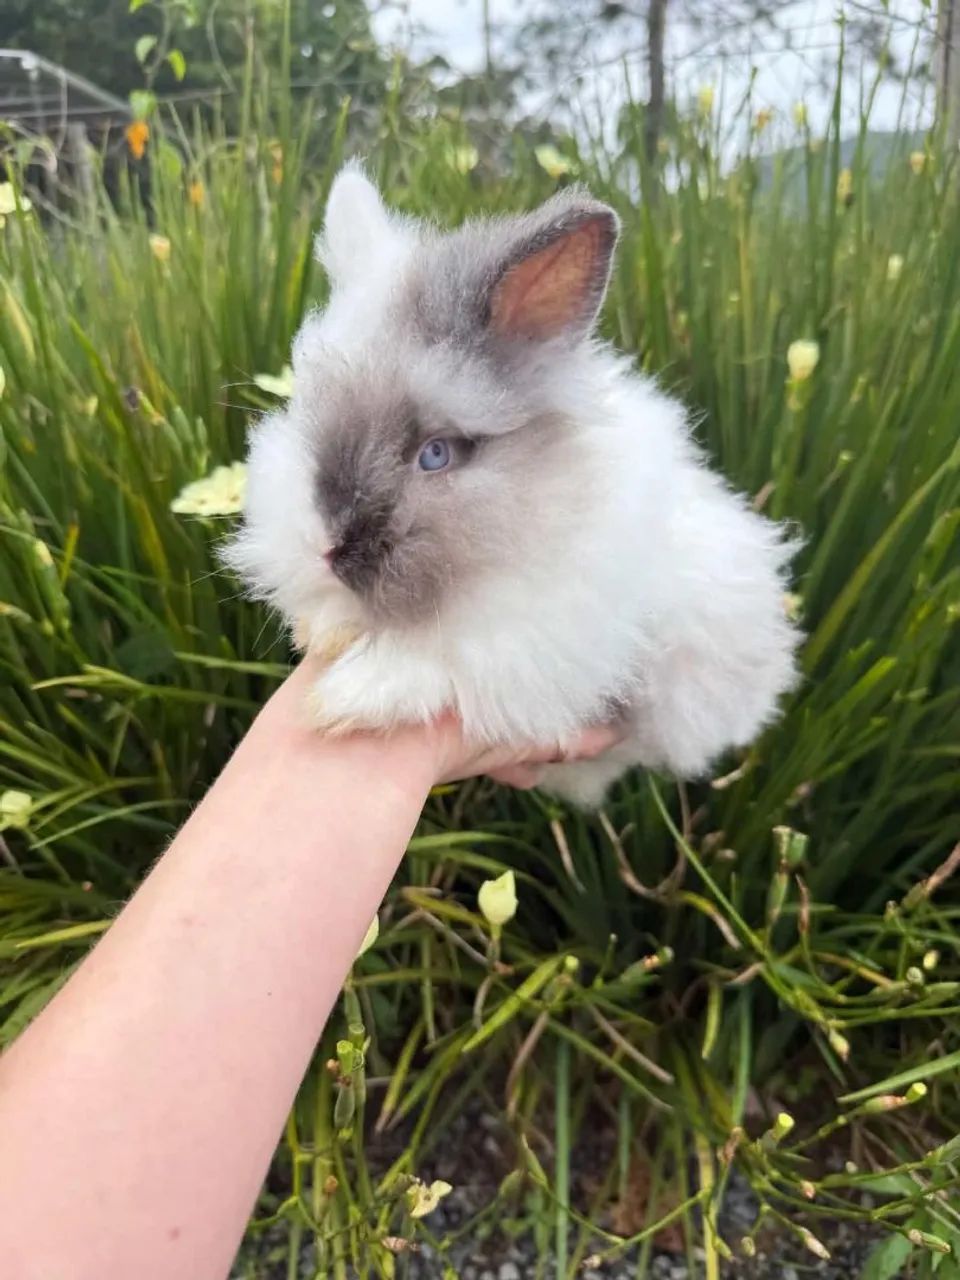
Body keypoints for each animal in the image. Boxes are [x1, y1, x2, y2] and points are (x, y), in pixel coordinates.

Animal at [224, 162, 799, 807]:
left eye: (436, 454)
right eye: (302, 410)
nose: (325, 550)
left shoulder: (536, 641)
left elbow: (447, 658)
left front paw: (348, 700)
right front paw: (324, 632)